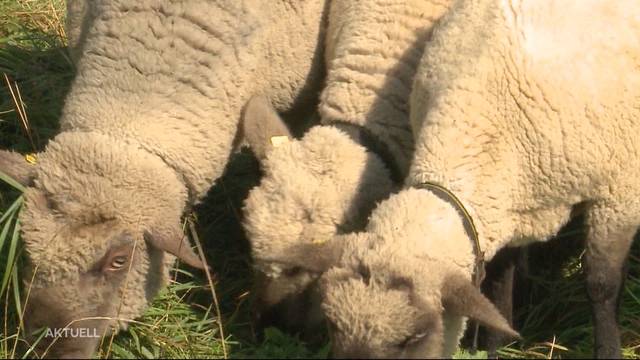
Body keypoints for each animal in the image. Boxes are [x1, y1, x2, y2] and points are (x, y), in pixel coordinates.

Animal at [288, 0, 640, 358]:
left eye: (413, 337)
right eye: (333, 326)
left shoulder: (619, 195)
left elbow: (601, 284)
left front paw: (608, 349)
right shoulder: (513, 207)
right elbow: (497, 283)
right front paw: (496, 345)